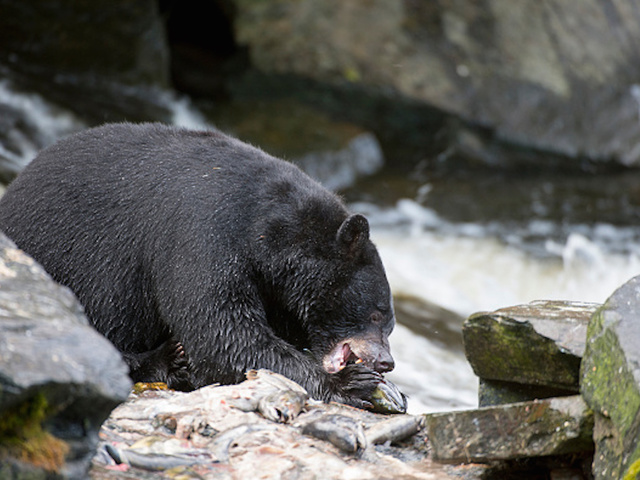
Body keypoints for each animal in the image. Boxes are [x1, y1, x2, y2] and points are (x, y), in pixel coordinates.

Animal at [0, 122, 396, 409]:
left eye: (389, 325)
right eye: (377, 314)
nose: (386, 363)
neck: (265, 228)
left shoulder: (267, 283)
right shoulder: (203, 233)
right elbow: (221, 330)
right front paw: (351, 383)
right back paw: (167, 360)